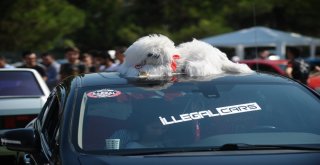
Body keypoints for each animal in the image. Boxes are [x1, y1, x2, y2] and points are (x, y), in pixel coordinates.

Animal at [118, 33, 252, 77]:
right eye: (150, 52)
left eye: (160, 51)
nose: (155, 55)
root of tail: (220, 57)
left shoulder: (160, 68)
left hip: (198, 65)